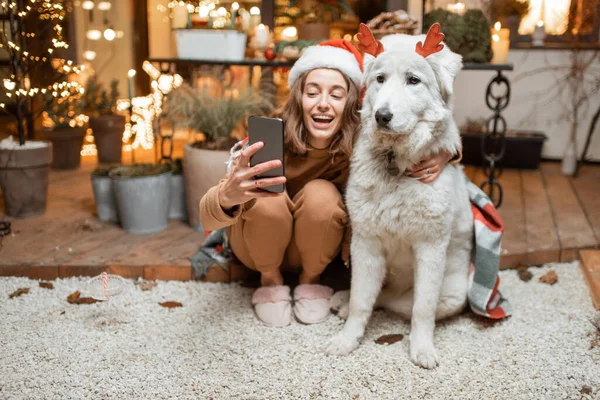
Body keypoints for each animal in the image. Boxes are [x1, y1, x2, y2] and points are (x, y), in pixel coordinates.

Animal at [324, 25, 474, 368]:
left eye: (413, 80)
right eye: (380, 79)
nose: (382, 116)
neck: (397, 164)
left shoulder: (430, 248)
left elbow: (422, 308)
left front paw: (422, 349)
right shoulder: (365, 244)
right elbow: (360, 302)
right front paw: (347, 340)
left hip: (455, 294)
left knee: (396, 301)